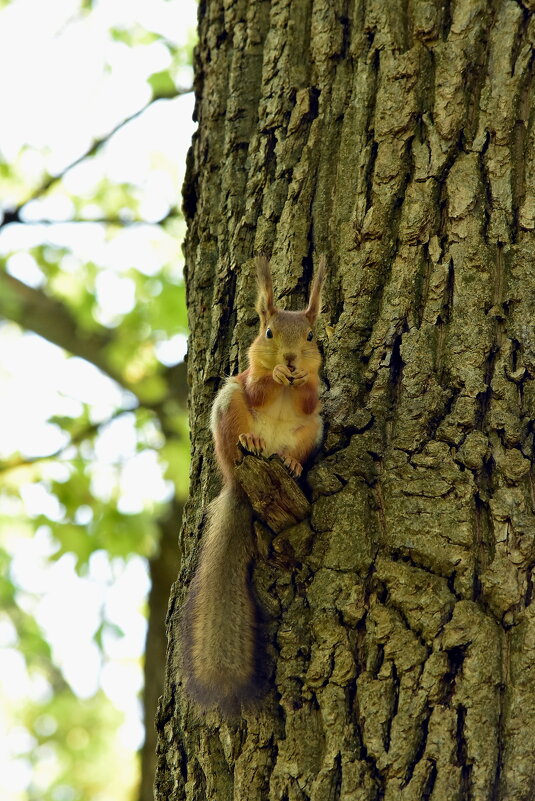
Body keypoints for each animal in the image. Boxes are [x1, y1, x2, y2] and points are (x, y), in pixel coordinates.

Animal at [181, 253, 326, 708]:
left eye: (312, 336)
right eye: (268, 332)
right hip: (228, 409)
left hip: (312, 431)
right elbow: (259, 386)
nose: (292, 360)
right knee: (239, 429)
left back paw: (290, 463)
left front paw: (301, 379)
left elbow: (311, 396)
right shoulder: (247, 377)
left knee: (296, 446)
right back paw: (252, 440)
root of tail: (239, 485)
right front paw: (276, 374)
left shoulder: (313, 402)